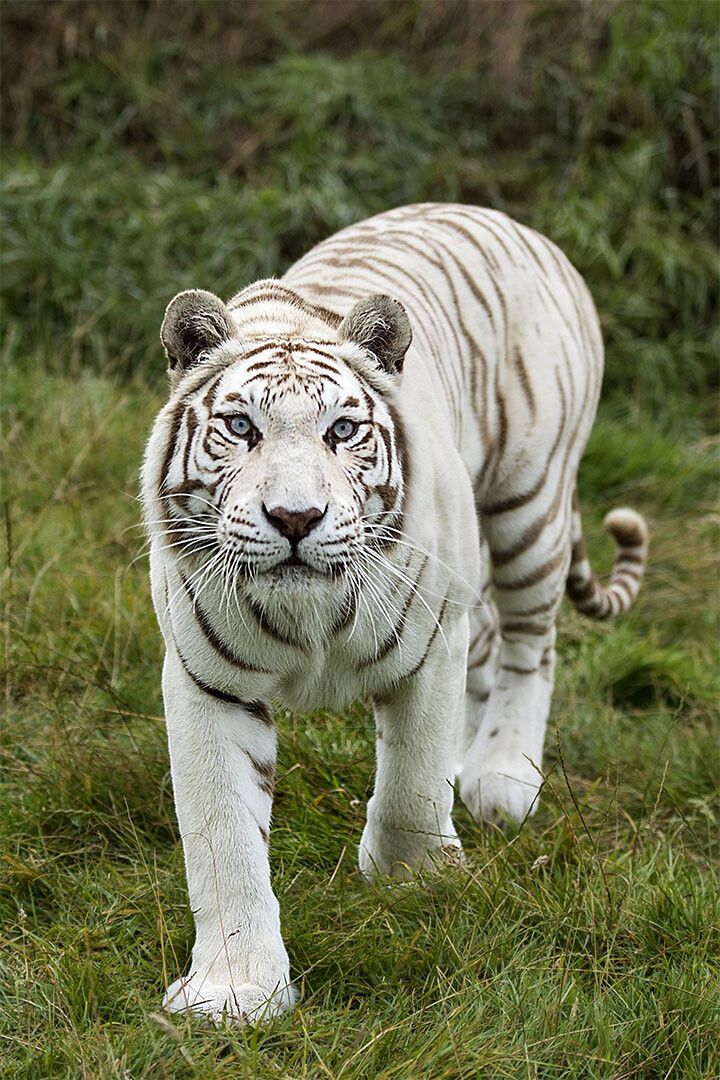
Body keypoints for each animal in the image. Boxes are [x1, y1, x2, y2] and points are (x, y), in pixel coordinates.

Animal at [141, 203, 648, 1023]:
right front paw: (235, 990)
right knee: (495, 644)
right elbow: (221, 837)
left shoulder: (432, 640)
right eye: (241, 428)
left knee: (531, 646)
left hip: (528, 504)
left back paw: (502, 776)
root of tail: (503, 218)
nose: (295, 517)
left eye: (341, 431)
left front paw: (413, 881)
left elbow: (411, 778)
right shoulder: (206, 681)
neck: (308, 617)